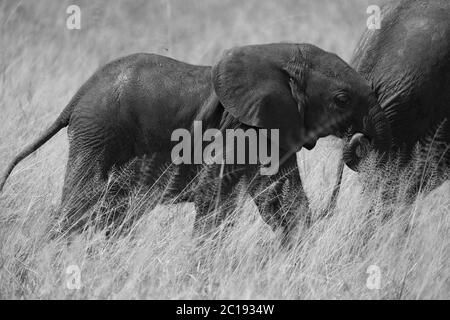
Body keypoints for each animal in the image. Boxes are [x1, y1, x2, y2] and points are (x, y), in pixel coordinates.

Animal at [0, 42, 390, 242]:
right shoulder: (243, 127)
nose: (360, 139)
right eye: (341, 100)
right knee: (81, 200)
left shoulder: (274, 128)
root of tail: (77, 96)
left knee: (111, 208)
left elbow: (280, 198)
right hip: (98, 129)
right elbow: (216, 197)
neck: (278, 57)